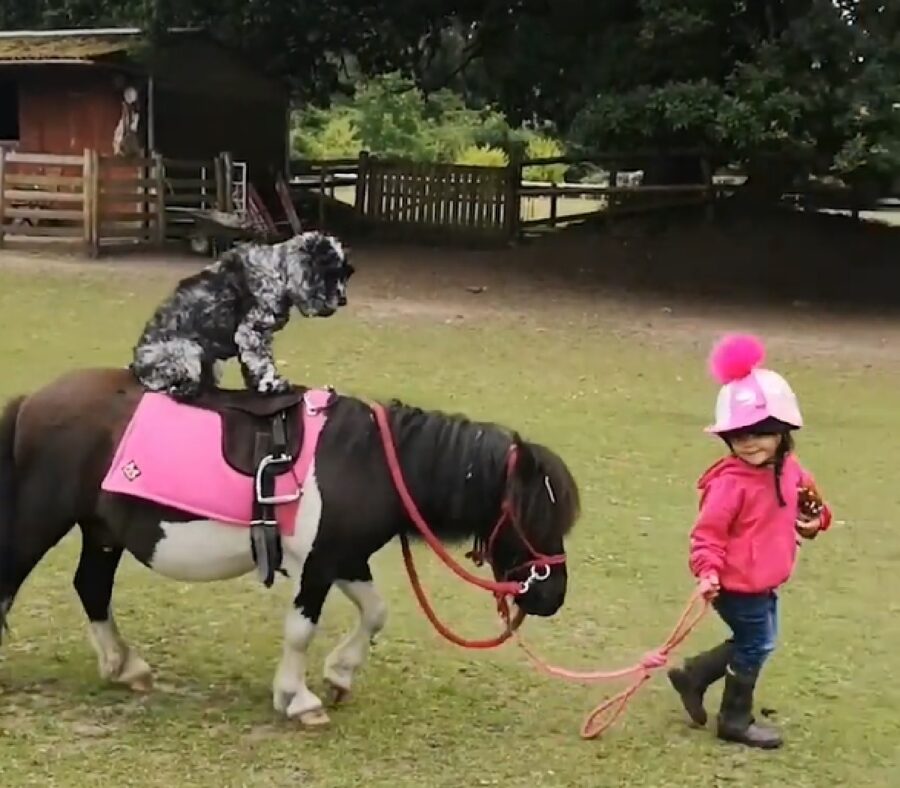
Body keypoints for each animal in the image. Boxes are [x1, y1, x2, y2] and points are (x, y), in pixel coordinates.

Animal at [0, 370, 580, 728]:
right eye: (532, 517)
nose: (551, 597)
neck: (367, 461)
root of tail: (33, 401)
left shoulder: (343, 557)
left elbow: (376, 612)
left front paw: (340, 675)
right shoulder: (318, 566)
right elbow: (301, 630)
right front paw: (299, 700)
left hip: (100, 530)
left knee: (91, 588)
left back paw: (126, 667)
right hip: (42, 519)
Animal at [130, 231, 356, 398]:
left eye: (344, 276)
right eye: (329, 275)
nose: (343, 300)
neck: (275, 271)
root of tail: (137, 366)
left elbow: (251, 365)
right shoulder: (254, 331)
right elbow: (263, 362)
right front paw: (272, 385)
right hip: (187, 349)